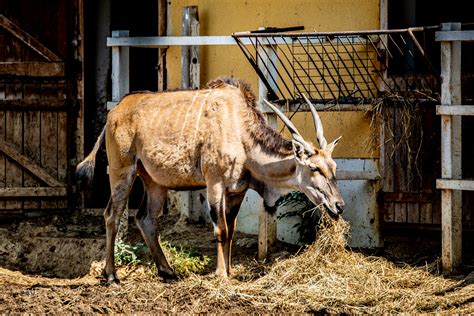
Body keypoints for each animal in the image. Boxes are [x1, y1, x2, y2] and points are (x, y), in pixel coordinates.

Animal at [77, 77, 344, 284]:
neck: (240, 131)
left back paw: (167, 271)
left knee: (146, 219)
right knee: (112, 215)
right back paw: (112, 276)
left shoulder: (237, 190)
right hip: (122, 172)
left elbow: (231, 229)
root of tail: (114, 112)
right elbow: (220, 229)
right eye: (314, 168)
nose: (339, 205)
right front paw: (221, 274)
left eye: (334, 167)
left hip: (155, 182)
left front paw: (228, 270)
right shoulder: (214, 183)